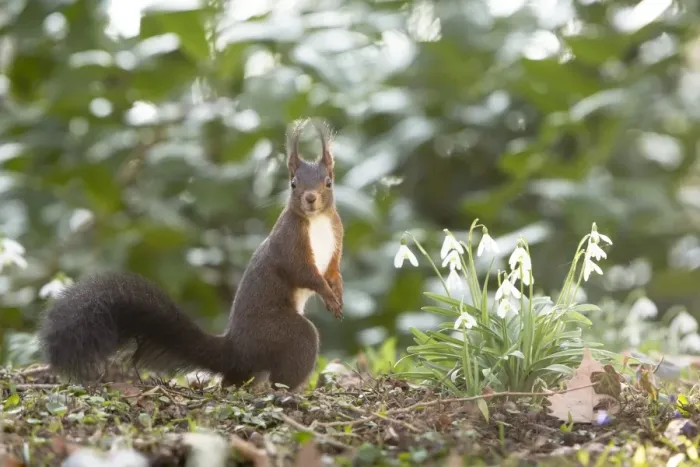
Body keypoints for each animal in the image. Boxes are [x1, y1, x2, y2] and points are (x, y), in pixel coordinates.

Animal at [37, 119, 344, 392]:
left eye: (328, 182)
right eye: (293, 183)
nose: (310, 198)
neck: (316, 222)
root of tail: (236, 349)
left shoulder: (335, 242)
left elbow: (332, 270)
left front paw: (337, 294)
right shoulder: (288, 243)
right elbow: (302, 272)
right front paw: (327, 295)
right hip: (283, 335)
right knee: (291, 358)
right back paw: (291, 391)